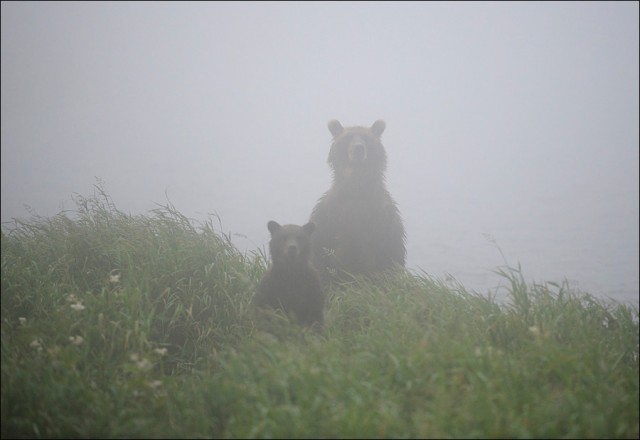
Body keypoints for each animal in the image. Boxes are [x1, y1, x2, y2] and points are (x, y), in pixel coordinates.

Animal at [308, 119, 404, 286]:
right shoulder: (329, 215)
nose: (358, 148)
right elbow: (321, 251)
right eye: (348, 137)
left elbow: (391, 254)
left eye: (366, 138)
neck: (356, 186)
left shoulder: (384, 215)